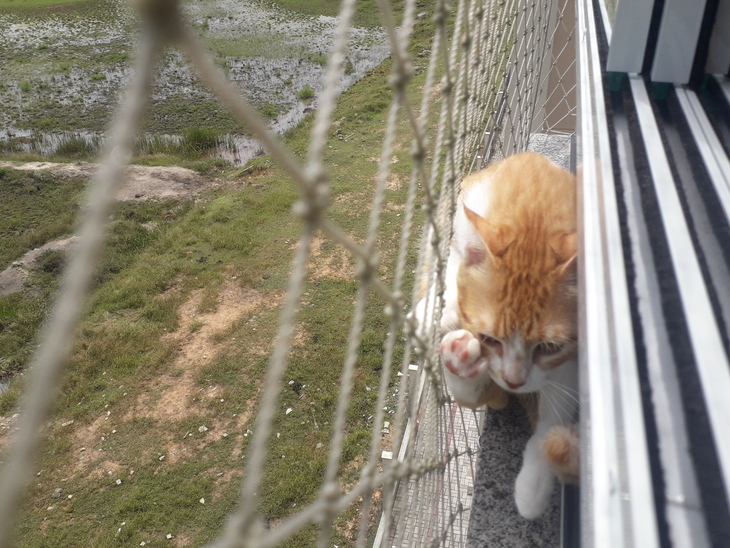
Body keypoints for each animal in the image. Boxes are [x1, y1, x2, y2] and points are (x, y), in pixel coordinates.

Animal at [430, 152, 576, 520]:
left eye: (549, 346)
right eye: (490, 339)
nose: (514, 381)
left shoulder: (568, 360)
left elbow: (553, 415)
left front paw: (534, 484)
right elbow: (454, 265)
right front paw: (443, 317)